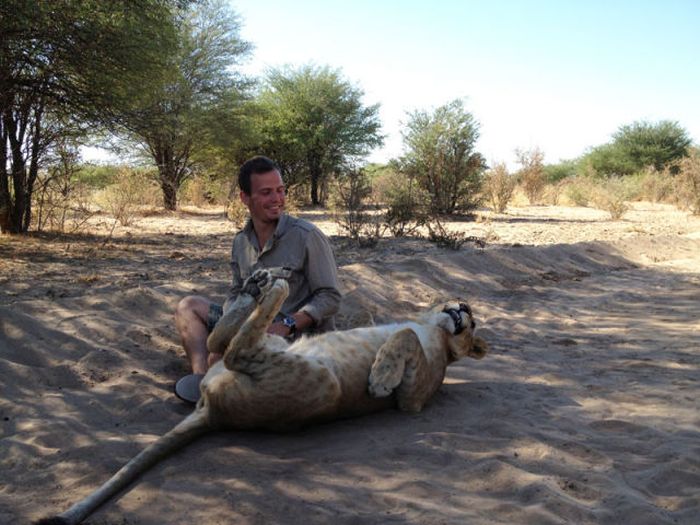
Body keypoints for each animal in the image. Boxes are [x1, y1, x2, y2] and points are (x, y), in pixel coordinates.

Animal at [37, 270, 486, 524]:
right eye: (466, 309)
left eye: (473, 324)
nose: (464, 309)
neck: (437, 330)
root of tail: (214, 414)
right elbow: (389, 324)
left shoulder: (414, 398)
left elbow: (404, 337)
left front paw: (379, 379)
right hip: (274, 346)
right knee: (220, 340)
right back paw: (254, 289)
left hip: (323, 382)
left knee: (234, 348)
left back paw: (271, 289)